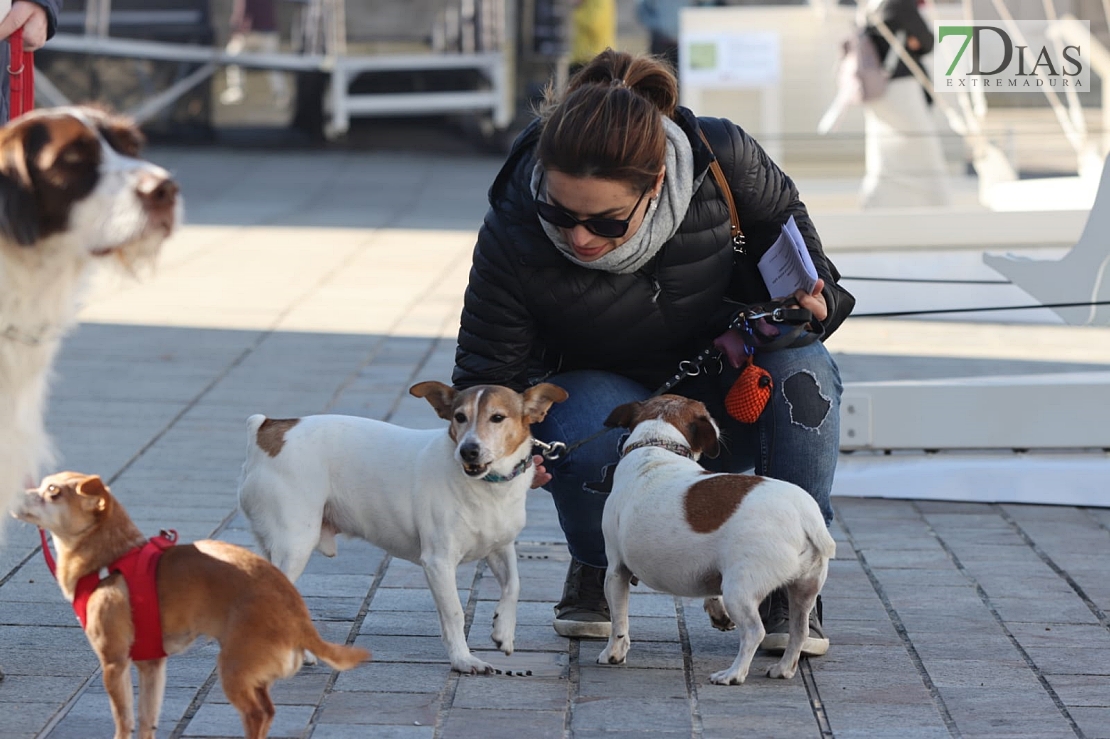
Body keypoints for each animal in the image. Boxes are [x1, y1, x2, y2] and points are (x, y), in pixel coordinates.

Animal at [13, 472, 368, 736]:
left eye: (53, 492)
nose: (14, 493)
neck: (110, 558)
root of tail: (298, 616)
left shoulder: (114, 663)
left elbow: (124, 721)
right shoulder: (152, 666)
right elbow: (146, 721)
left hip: (233, 668)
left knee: (257, 714)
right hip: (254, 673)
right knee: (267, 710)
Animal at [238, 379, 568, 674]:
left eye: (497, 417)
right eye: (459, 417)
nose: (468, 450)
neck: (488, 487)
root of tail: (269, 427)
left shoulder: (500, 547)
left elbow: (514, 585)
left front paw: (503, 631)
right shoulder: (438, 562)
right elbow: (454, 613)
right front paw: (463, 660)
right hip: (295, 544)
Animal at [599, 395, 834, 683]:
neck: (657, 444)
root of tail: (804, 514)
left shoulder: (616, 571)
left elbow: (619, 621)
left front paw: (613, 652)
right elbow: (712, 593)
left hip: (740, 590)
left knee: (754, 632)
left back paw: (733, 674)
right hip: (804, 589)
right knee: (799, 631)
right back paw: (783, 668)